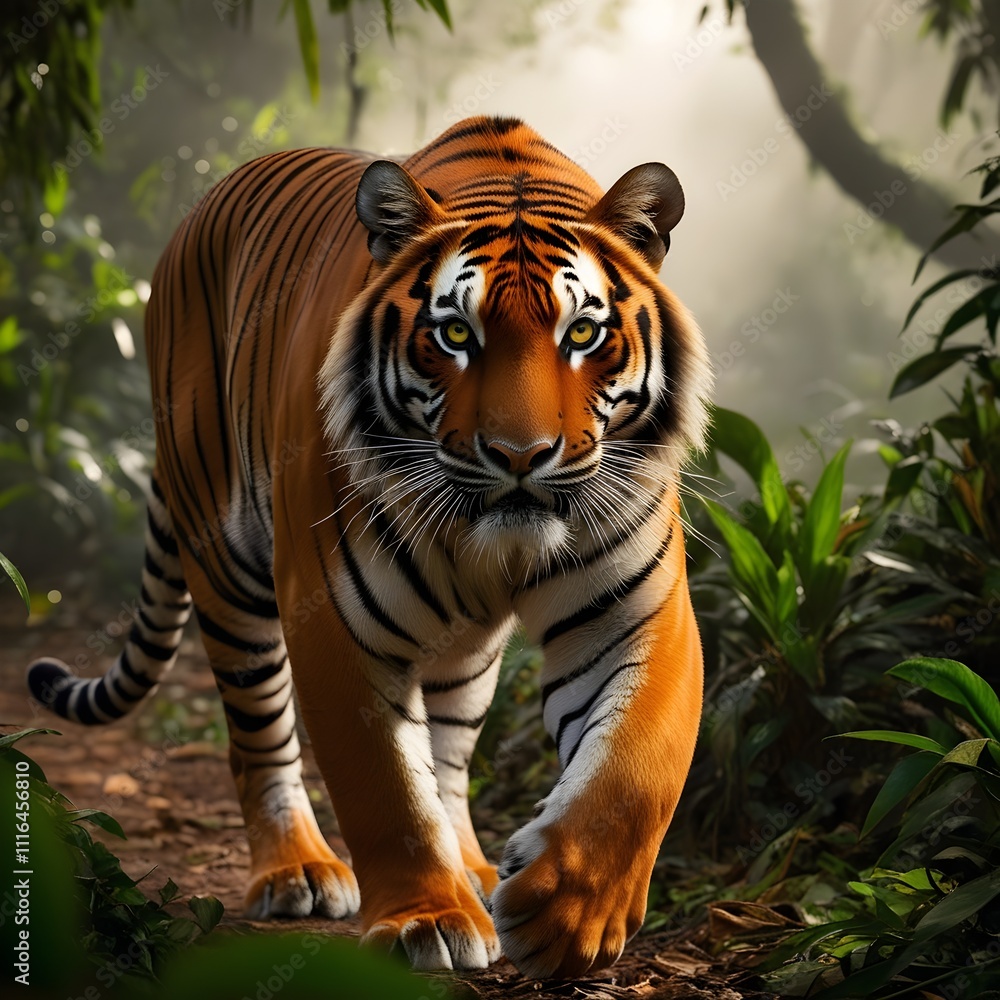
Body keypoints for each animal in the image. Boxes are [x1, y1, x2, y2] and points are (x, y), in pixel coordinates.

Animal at [27, 116, 712, 979]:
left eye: (582, 333)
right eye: (454, 334)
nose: (519, 456)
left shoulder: (637, 613)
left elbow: (634, 769)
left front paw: (568, 914)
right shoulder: (333, 616)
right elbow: (384, 785)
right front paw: (428, 919)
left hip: (465, 652)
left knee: (448, 753)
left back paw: (475, 868)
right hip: (226, 564)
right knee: (260, 737)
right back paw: (298, 870)